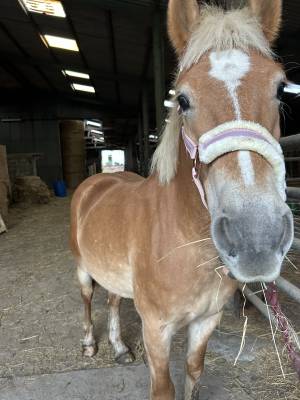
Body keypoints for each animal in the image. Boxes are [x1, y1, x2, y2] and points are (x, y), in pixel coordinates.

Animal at [70, 1, 292, 398]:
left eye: (281, 88)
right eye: (183, 99)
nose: (256, 238)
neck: (183, 241)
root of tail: (98, 181)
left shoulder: (206, 321)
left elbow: (194, 370)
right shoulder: (156, 329)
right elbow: (165, 387)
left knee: (112, 300)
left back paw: (119, 347)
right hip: (82, 269)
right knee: (87, 299)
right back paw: (90, 344)